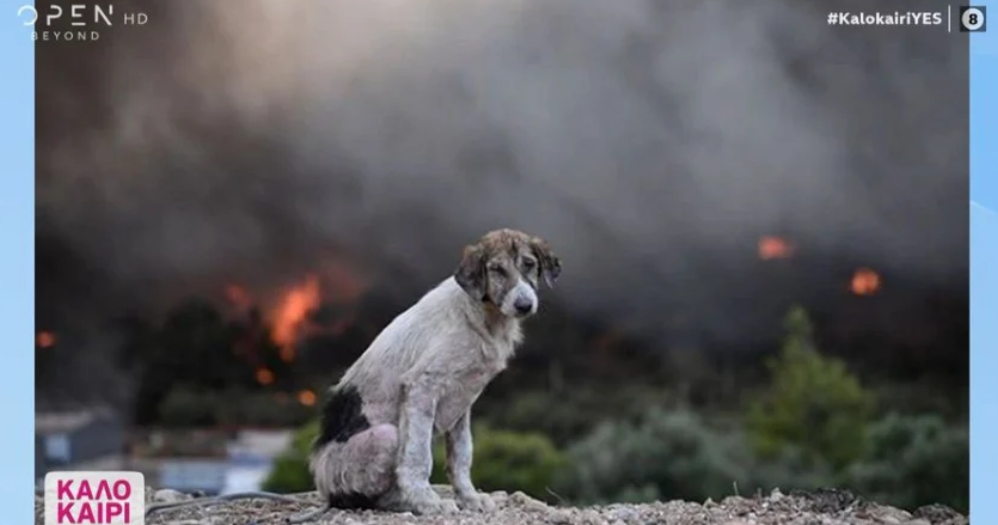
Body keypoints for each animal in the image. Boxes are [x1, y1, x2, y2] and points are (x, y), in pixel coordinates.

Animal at [310, 227, 564, 512]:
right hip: (385, 436)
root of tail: (325, 487)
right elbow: (418, 455)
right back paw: (405, 502)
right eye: (497, 270)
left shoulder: (463, 399)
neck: (482, 315)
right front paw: (426, 500)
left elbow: (462, 455)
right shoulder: (421, 386)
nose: (524, 305)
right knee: (367, 497)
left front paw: (470, 498)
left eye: (529, 264)